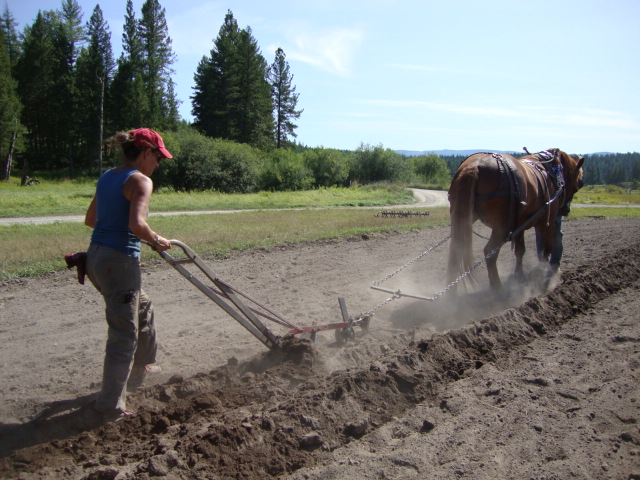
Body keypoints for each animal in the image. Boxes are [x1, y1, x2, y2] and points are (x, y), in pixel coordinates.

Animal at [448, 148, 584, 288]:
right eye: (579, 184)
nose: (566, 210)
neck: (550, 171)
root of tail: (474, 166)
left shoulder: (519, 226)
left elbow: (520, 250)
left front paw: (520, 277)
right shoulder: (546, 224)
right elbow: (546, 250)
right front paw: (542, 274)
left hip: (464, 218)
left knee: (455, 251)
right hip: (501, 227)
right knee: (490, 252)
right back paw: (497, 287)